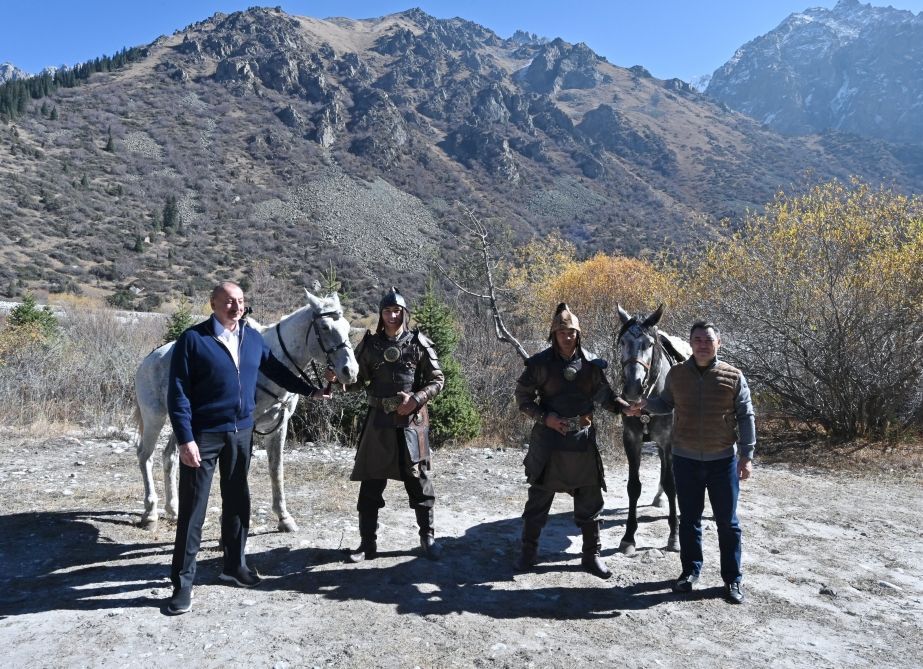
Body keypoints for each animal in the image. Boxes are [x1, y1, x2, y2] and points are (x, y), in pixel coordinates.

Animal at [134, 292, 358, 532]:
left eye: (347, 326)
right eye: (324, 327)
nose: (350, 371)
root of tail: (149, 359)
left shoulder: (279, 426)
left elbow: (276, 469)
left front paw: (284, 517)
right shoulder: (245, 429)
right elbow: (239, 470)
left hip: (183, 424)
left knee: (170, 456)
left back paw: (174, 510)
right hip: (154, 417)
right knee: (145, 455)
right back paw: (150, 513)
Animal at [616, 302, 688, 552]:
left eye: (649, 344)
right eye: (623, 342)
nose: (632, 389)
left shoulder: (669, 442)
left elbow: (672, 483)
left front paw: (674, 536)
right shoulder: (631, 440)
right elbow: (633, 486)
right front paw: (629, 536)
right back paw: (658, 498)